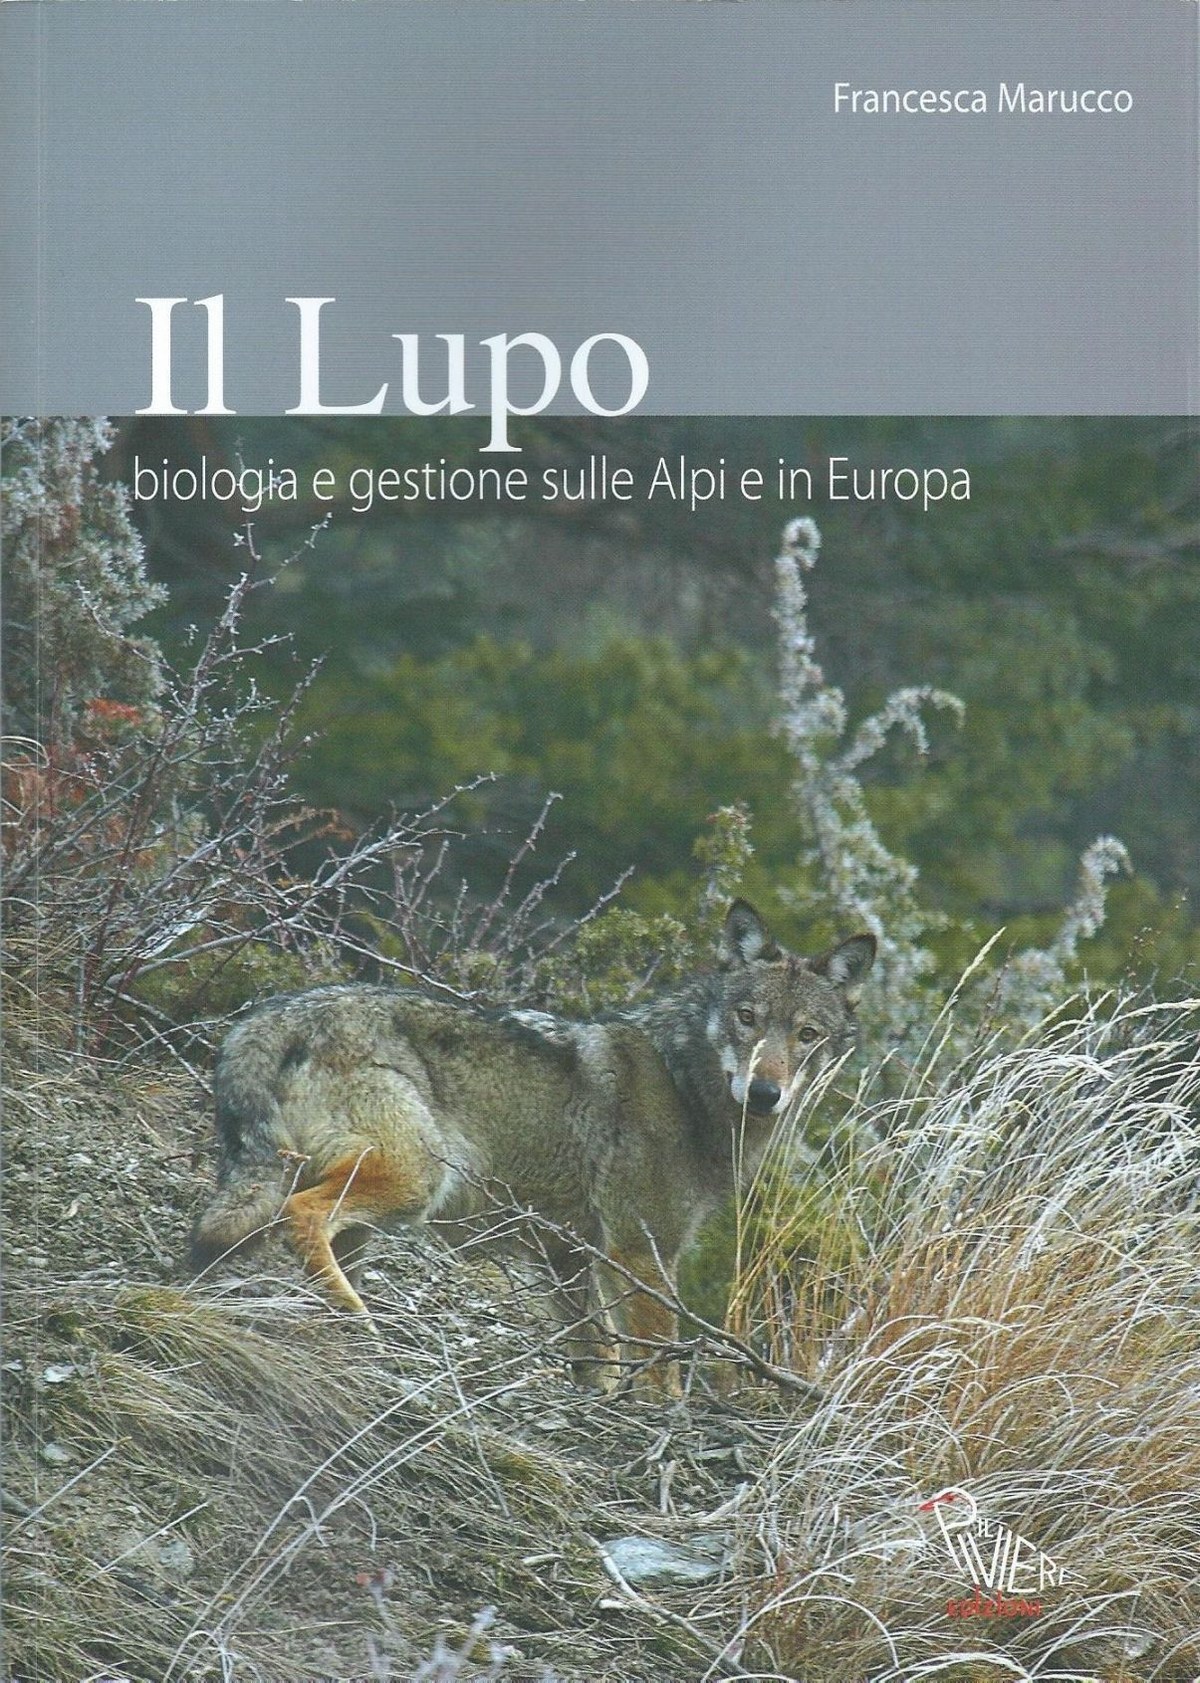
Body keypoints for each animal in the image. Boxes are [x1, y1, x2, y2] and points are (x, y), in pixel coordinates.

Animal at [190, 901, 875, 1386]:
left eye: (807, 1034)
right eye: (747, 1018)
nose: (764, 1092)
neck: (685, 1085)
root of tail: (269, 1015)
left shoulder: (567, 1253)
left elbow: (599, 1356)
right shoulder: (640, 1250)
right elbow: (657, 1365)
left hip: (363, 1208)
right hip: (415, 1181)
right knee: (302, 1217)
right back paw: (361, 1328)